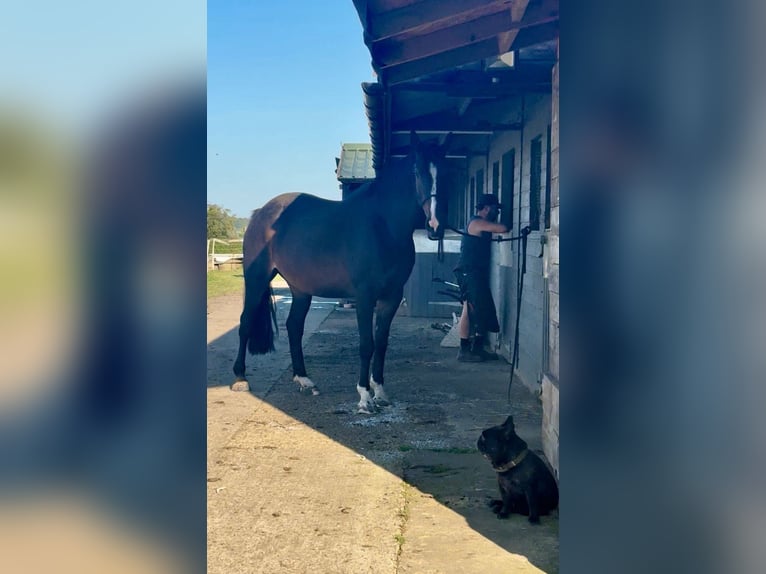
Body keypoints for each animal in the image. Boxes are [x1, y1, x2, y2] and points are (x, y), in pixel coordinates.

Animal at [231, 132, 448, 413]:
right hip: (257, 279)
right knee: (246, 322)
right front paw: (364, 397)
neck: (381, 226)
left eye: (445, 171)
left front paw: (380, 392)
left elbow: (382, 343)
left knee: (294, 326)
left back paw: (304, 379)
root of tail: (260, 213)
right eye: (416, 171)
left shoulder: (391, 297)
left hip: (300, 290)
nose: (435, 226)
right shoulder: (365, 297)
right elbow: (366, 344)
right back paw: (240, 378)